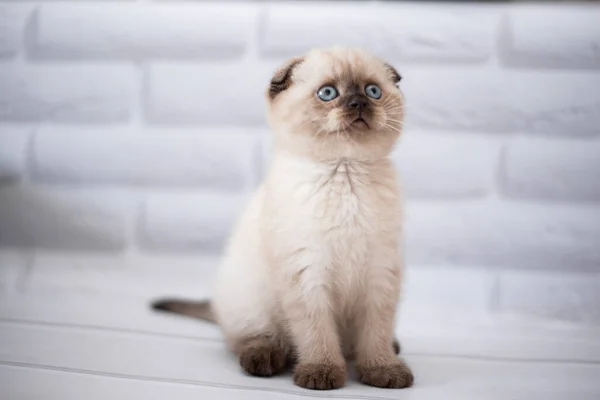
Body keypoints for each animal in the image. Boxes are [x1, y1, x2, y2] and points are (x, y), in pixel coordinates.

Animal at [150, 47, 412, 390]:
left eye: (372, 91)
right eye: (328, 93)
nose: (358, 104)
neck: (344, 169)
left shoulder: (379, 273)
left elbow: (376, 334)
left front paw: (384, 369)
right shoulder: (307, 273)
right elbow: (317, 333)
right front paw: (321, 372)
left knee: (359, 343)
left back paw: (390, 348)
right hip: (249, 301)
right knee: (251, 339)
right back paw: (263, 360)